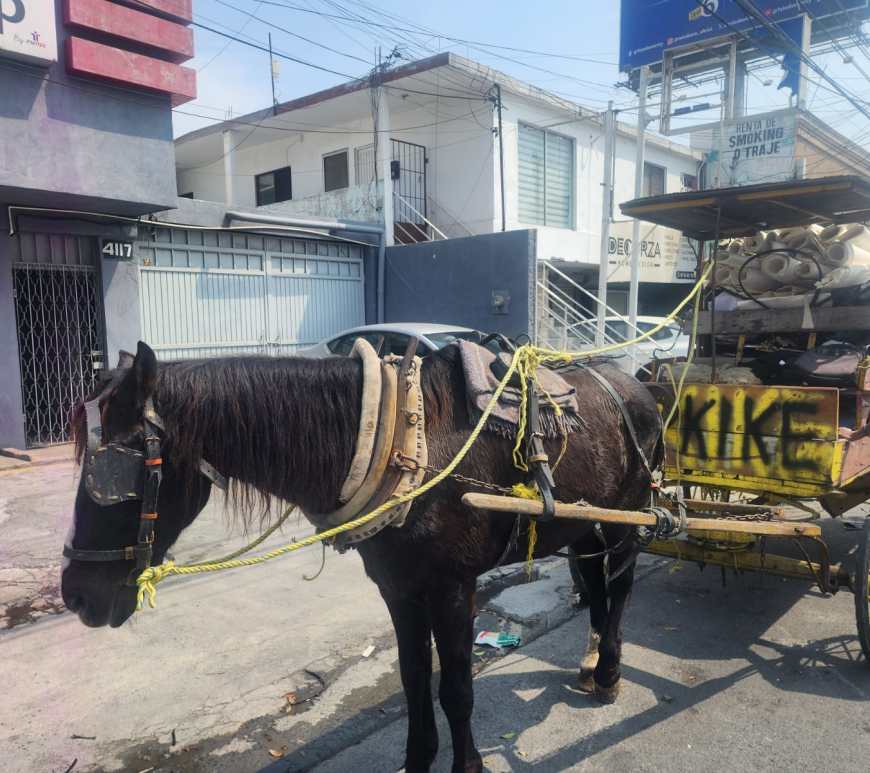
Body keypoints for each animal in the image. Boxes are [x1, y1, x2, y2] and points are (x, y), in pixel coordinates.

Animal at [62, 340, 662, 773]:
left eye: (111, 472)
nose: (75, 596)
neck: (404, 442)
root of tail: (637, 382)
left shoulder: (453, 588)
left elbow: (456, 689)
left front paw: (466, 765)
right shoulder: (398, 589)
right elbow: (414, 679)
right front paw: (417, 760)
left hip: (631, 518)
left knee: (620, 586)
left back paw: (609, 672)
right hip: (583, 524)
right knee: (592, 582)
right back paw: (589, 665)